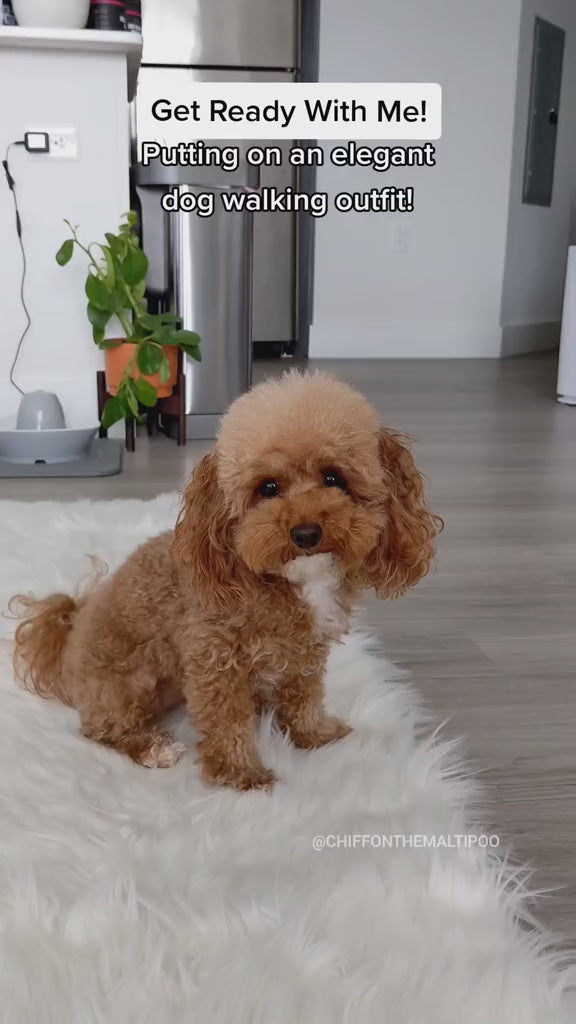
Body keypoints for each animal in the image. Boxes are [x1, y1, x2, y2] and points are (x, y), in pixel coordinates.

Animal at [11, 372, 442, 790]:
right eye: (268, 488)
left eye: (334, 478)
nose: (305, 534)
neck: (290, 583)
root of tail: (69, 633)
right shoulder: (214, 659)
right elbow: (227, 721)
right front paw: (241, 773)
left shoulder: (306, 653)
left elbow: (304, 695)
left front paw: (315, 735)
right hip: (121, 686)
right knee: (102, 731)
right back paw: (153, 748)